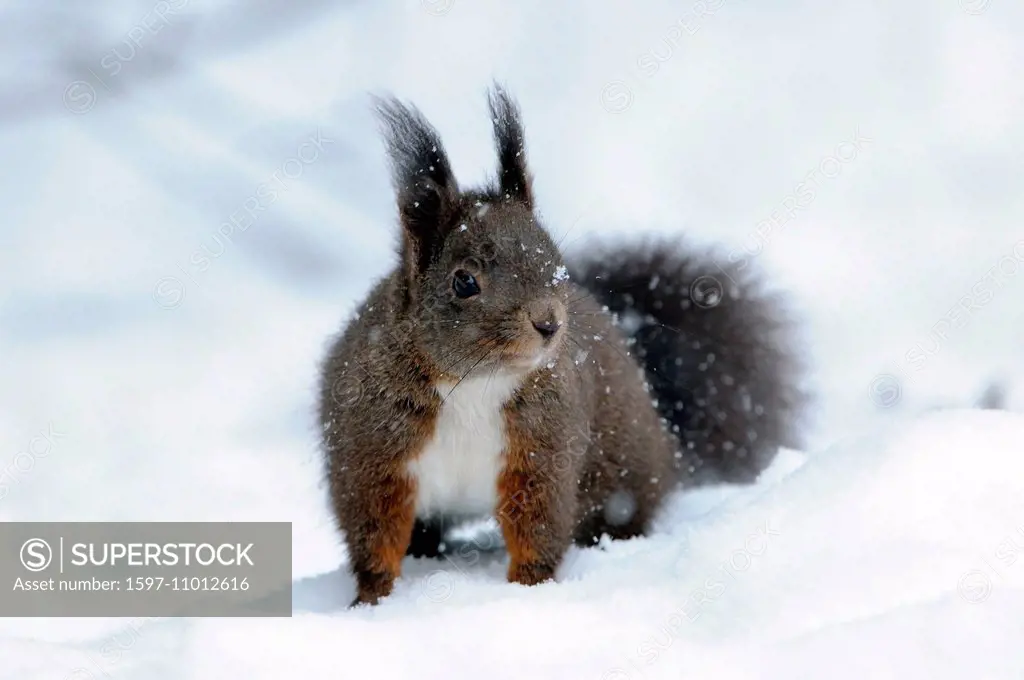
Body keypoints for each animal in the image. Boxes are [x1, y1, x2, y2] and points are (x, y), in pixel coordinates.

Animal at [315, 85, 802, 606]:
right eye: (464, 282)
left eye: (555, 262)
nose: (549, 322)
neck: (475, 382)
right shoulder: (371, 448)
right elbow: (374, 531)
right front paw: (371, 600)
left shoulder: (544, 445)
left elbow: (540, 523)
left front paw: (529, 591)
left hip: (622, 474)